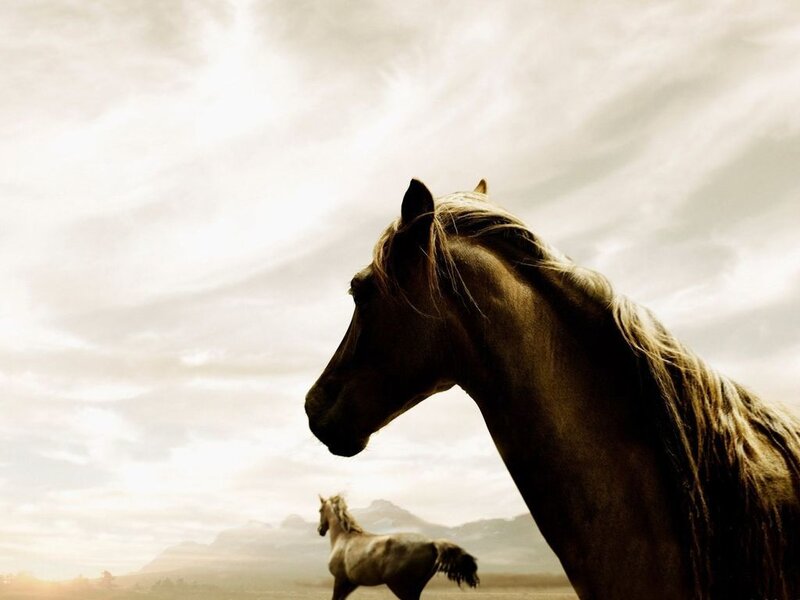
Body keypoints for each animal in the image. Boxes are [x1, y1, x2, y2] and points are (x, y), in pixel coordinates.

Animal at [316, 494, 479, 600]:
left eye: (320, 510)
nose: (320, 530)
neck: (344, 538)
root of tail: (432, 543)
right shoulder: (351, 583)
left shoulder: (340, 580)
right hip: (415, 588)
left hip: (400, 586)